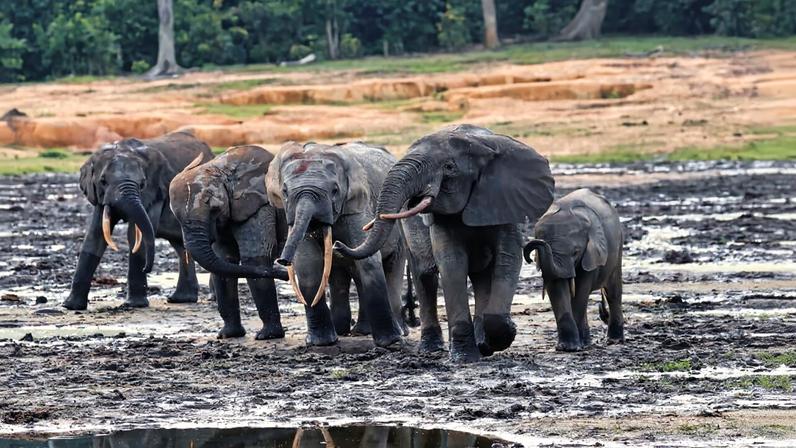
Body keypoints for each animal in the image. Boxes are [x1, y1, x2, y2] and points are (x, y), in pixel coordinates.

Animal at [63, 131, 214, 310]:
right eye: (103, 181)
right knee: (181, 246)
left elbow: (135, 236)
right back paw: (181, 299)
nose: (146, 268)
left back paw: (211, 298)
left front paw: (135, 305)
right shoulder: (100, 197)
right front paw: (71, 306)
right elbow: (95, 236)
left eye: (142, 184)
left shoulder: (156, 193)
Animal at [168, 145, 289, 340]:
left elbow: (254, 261)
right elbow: (224, 262)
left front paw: (267, 336)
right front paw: (228, 335)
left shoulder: (260, 207)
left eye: (214, 209)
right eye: (176, 216)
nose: (285, 273)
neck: (221, 168)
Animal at [266, 141, 412, 347]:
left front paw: (390, 343)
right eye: (285, 192)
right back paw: (348, 331)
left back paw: (396, 332)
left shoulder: (357, 205)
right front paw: (321, 343)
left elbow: (368, 261)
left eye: (335, 190)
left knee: (392, 267)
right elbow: (308, 263)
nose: (282, 261)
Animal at [335, 124, 555, 362]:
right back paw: (432, 348)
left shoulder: (505, 200)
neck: (479, 143)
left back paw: (481, 343)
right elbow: (452, 262)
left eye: (449, 167)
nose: (336, 245)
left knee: (480, 277)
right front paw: (466, 358)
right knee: (424, 276)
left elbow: (509, 258)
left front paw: (498, 337)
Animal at [523, 188, 624, 351]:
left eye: (576, 252)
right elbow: (557, 287)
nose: (537, 243)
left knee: (613, 292)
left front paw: (573, 347)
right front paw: (567, 347)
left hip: (618, 243)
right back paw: (587, 342)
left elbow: (582, 288)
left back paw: (613, 341)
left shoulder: (591, 253)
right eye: (538, 254)